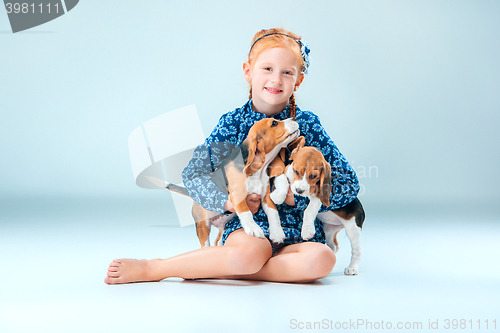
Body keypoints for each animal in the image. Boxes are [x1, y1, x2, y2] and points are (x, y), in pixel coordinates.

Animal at [164, 118, 298, 245]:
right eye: (274, 123)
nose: (295, 118)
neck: (258, 170)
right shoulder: (238, 195)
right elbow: (246, 212)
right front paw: (253, 228)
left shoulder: (266, 195)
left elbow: (273, 212)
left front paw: (277, 233)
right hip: (203, 225)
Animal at [272, 136, 366, 274]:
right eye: (295, 171)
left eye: (313, 176)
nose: (299, 191)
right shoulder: (284, 173)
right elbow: (282, 179)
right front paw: (278, 196)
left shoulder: (317, 195)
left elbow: (309, 210)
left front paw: (306, 230)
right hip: (329, 230)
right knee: (333, 247)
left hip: (353, 228)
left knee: (357, 250)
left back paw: (352, 268)